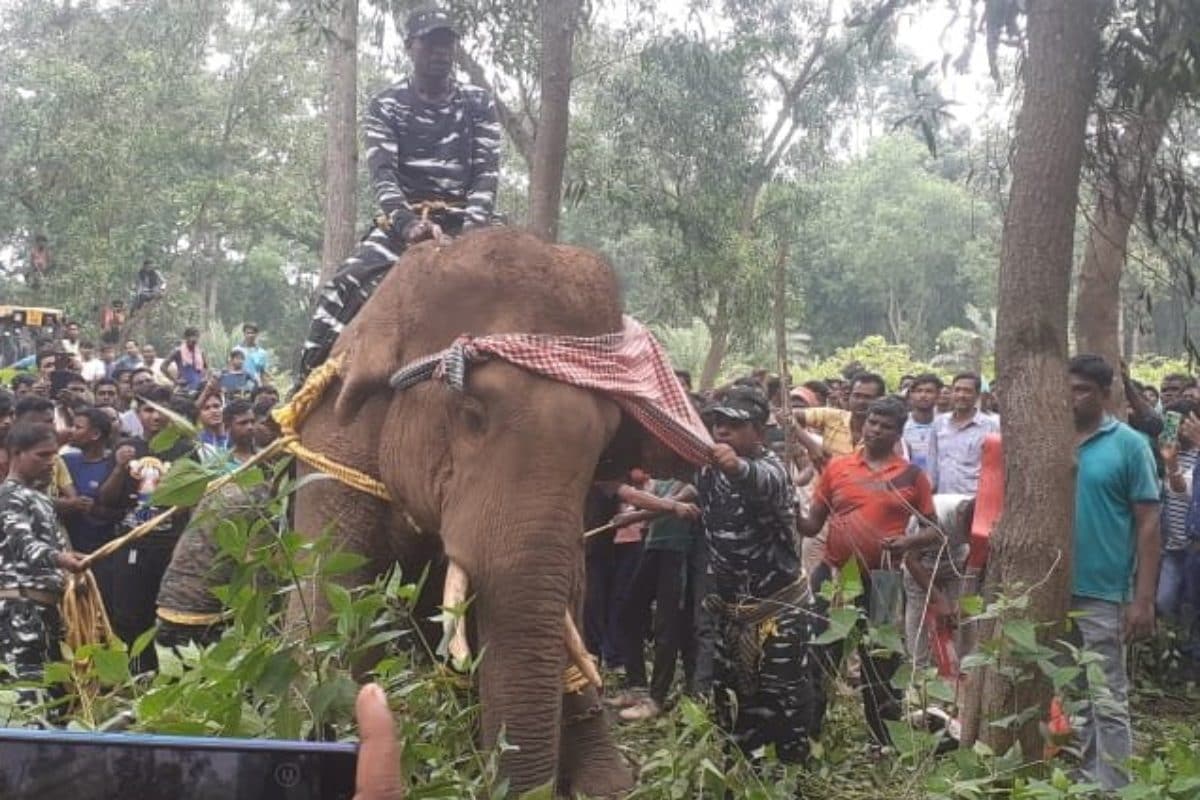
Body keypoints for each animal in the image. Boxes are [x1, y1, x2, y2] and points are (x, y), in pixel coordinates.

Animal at [290, 227, 685, 796]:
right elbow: (329, 604)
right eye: (473, 414)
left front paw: (607, 786)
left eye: (605, 446)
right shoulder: (335, 447)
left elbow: (564, 601)